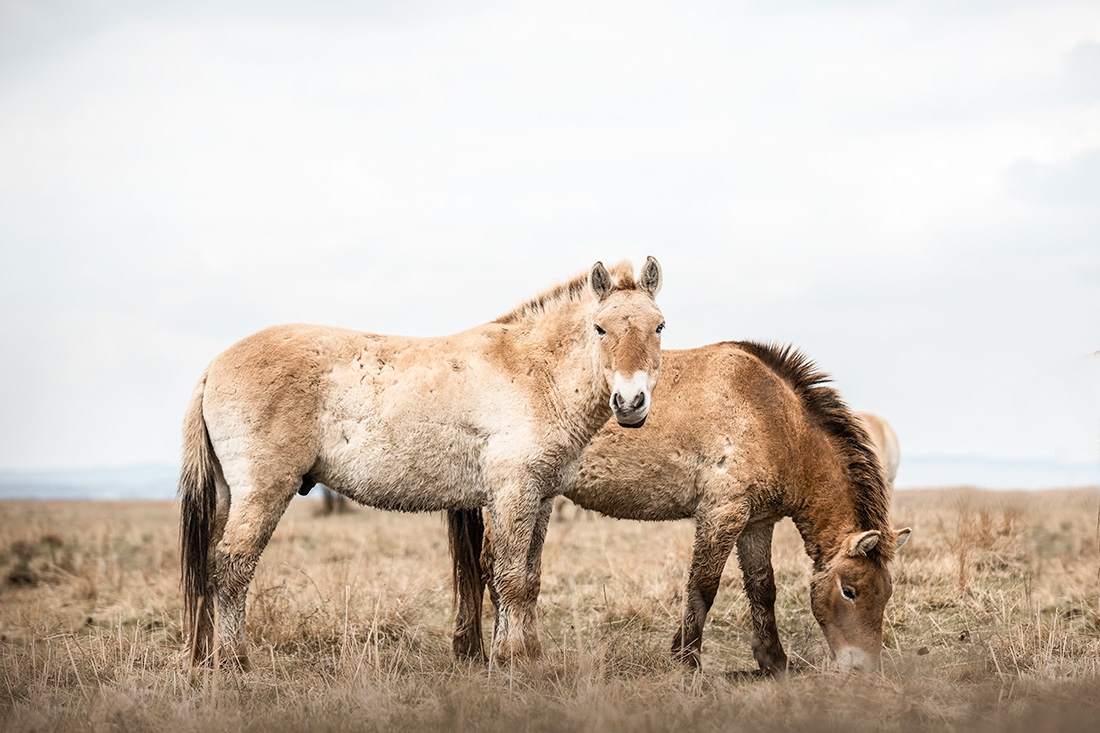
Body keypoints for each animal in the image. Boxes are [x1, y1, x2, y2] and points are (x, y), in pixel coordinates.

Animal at [179, 257, 666, 670]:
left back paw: (211, 659)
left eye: (659, 325)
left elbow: (530, 579)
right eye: (600, 328)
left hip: (228, 494)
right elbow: (511, 579)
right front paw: (512, 661)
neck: (536, 372)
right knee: (233, 566)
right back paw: (235, 663)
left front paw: (528, 656)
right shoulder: (513, 495)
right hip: (261, 491)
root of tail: (214, 365)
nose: (630, 402)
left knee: (212, 565)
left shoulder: (541, 499)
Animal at [450, 341, 911, 674]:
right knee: (494, 569)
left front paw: (774, 661)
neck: (776, 420)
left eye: (886, 593)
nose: (865, 670)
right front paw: (686, 661)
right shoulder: (722, 514)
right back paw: (502, 655)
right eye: (849, 591)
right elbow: (702, 587)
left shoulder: (757, 523)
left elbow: (763, 589)